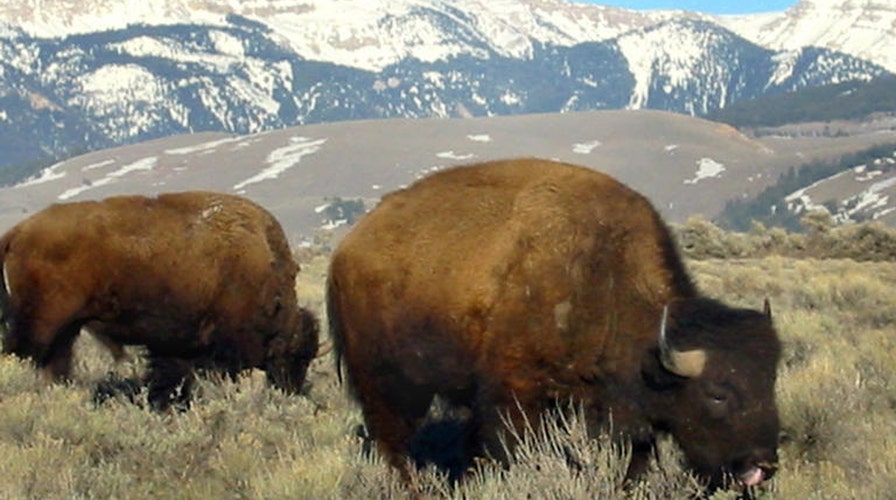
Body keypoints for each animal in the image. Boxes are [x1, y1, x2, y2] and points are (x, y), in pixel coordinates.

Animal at [0, 191, 319, 409]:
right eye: (296, 355)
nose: (293, 390)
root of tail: (16, 232)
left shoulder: (175, 346)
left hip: (66, 330)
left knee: (55, 365)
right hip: (41, 325)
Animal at [327, 159, 781, 489]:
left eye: (769, 384)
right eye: (718, 393)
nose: (764, 463)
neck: (602, 273)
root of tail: (347, 248)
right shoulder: (514, 398)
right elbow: (505, 450)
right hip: (388, 381)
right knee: (393, 440)